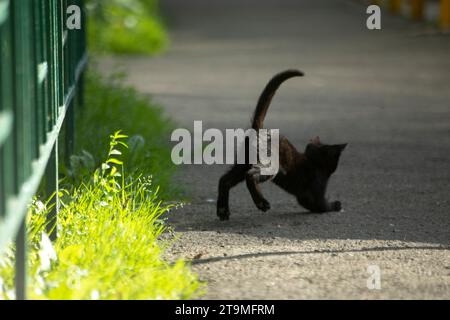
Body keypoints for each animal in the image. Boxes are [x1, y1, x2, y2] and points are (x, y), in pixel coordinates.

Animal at [216, 69, 346, 221]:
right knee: (251, 175)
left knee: (225, 180)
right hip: (270, 166)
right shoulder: (314, 194)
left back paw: (223, 210)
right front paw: (337, 205)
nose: (335, 167)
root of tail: (259, 130)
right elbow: (322, 205)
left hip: (243, 164)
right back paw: (262, 203)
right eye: (336, 160)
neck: (313, 161)